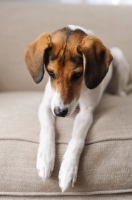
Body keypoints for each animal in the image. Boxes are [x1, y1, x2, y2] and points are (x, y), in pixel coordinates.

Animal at [24, 25, 130, 192]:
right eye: (51, 73)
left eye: (77, 75)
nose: (60, 112)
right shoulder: (47, 105)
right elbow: (48, 129)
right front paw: (46, 158)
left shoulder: (86, 112)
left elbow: (77, 139)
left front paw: (68, 168)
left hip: (118, 56)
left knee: (120, 91)